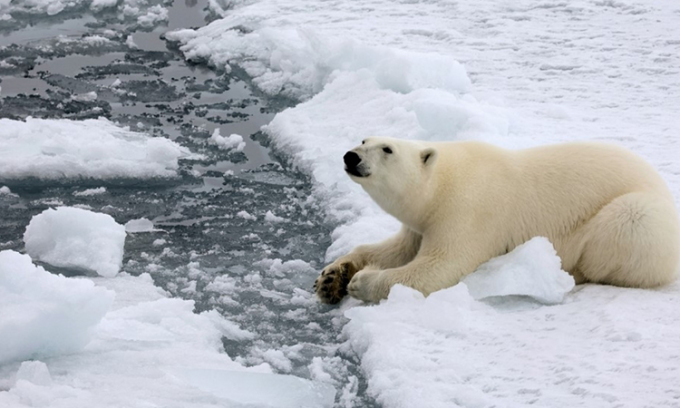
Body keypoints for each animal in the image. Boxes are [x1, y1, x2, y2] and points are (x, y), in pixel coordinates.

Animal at [316, 137, 680, 302]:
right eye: (364, 139)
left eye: (387, 149)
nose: (351, 156)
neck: (443, 182)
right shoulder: (421, 223)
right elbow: (396, 248)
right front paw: (332, 276)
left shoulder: (467, 212)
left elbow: (437, 267)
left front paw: (361, 282)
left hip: (638, 216)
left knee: (623, 228)